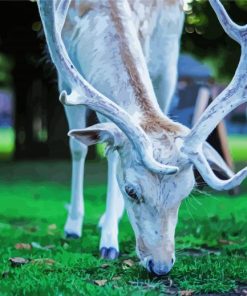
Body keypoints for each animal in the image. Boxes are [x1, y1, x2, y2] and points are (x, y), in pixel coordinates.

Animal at [37, 0, 246, 276]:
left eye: (186, 192)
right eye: (131, 191)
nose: (161, 266)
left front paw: (108, 239)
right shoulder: (64, 77)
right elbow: (78, 148)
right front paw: (75, 227)